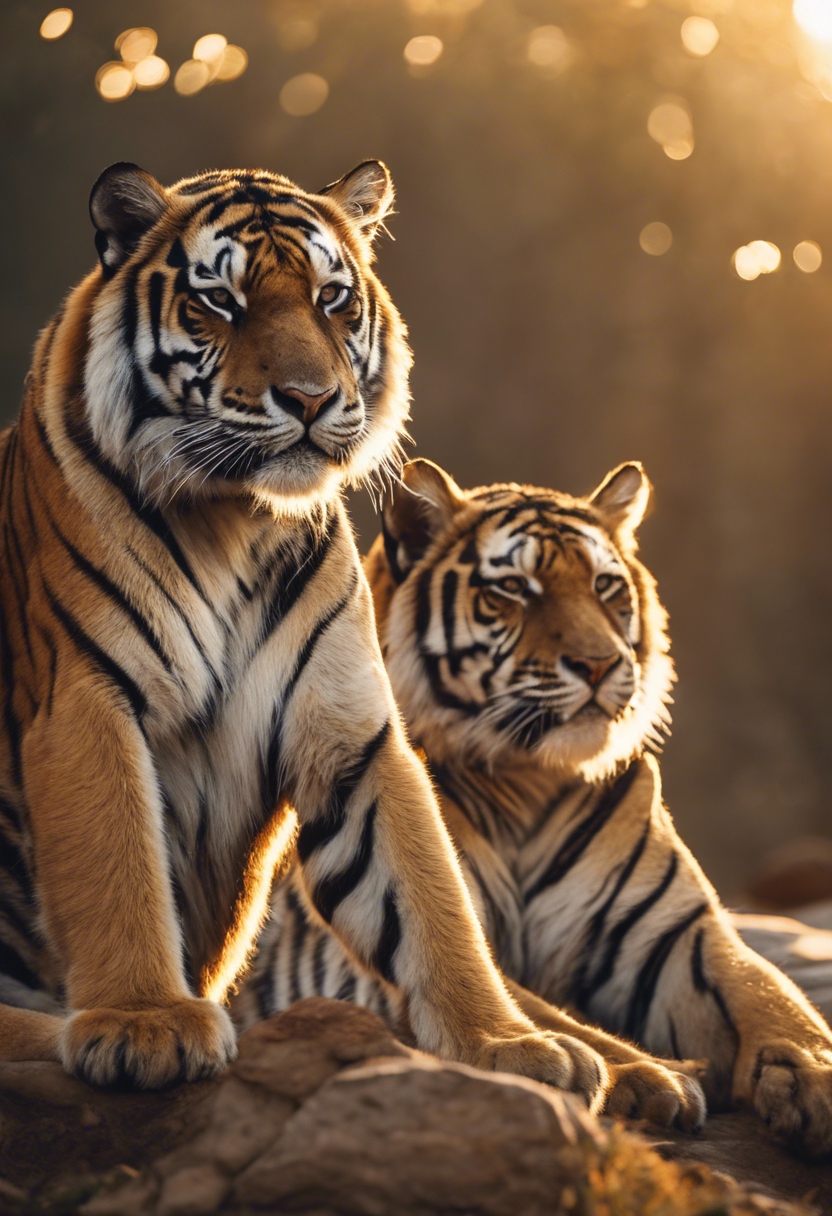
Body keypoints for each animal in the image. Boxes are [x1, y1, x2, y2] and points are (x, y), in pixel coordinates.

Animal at [0, 159, 697, 1107]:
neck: (233, 519)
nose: (310, 398)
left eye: (331, 298)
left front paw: (506, 1045)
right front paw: (144, 1023)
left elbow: (428, 898)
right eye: (221, 302)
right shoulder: (84, 696)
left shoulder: (350, 732)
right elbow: (117, 867)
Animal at [242, 457, 832, 1157]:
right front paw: (643, 1074)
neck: (531, 782)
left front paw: (816, 1075)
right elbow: (535, 1003)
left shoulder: (680, 933)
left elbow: (770, 992)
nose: (600, 664)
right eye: (514, 590)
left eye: (606, 586)